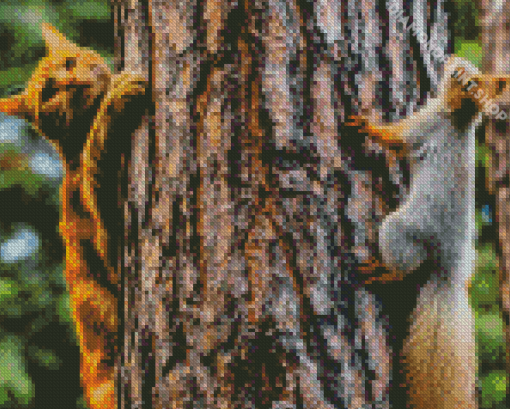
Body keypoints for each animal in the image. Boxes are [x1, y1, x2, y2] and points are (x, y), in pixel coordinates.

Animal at [0, 23, 147, 406]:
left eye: (69, 62)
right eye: (49, 92)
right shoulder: (113, 251)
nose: (72, 82)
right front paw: (117, 98)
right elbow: (98, 147)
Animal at [344, 55, 508, 406]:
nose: (450, 59)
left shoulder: (422, 127)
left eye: (462, 74)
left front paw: (367, 126)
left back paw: (380, 272)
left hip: (399, 230)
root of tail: (449, 266)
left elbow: (393, 139)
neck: (459, 116)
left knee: (405, 267)